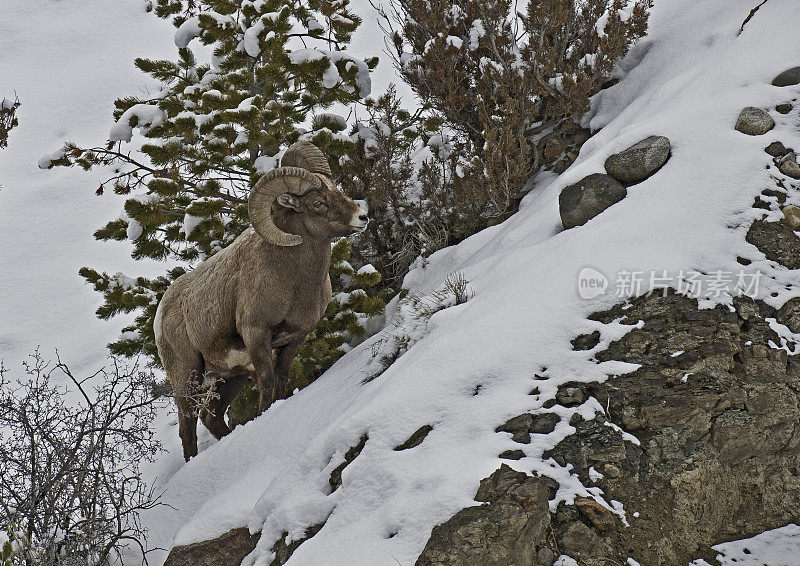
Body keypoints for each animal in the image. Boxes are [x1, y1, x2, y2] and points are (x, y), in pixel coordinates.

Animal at [153, 142, 368, 462]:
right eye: (317, 203)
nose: (362, 217)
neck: (294, 282)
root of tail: (162, 312)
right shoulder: (257, 335)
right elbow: (266, 382)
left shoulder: (297, 337)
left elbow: (281, 378)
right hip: (187, 375)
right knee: (188, 425)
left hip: (231, 377)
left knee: (211, 418)